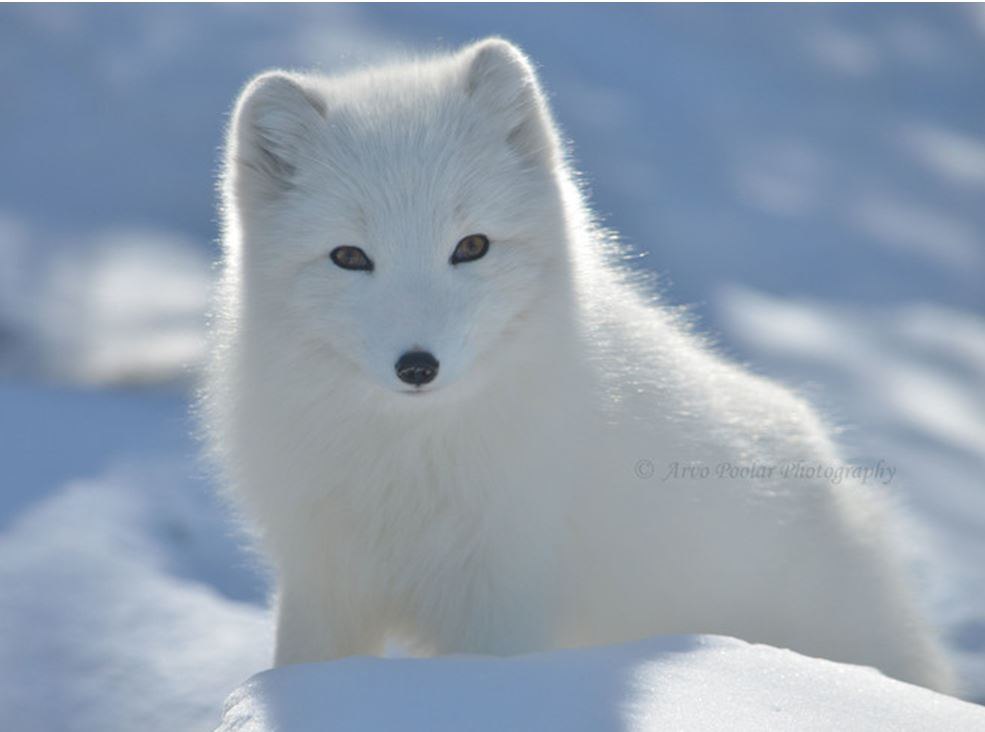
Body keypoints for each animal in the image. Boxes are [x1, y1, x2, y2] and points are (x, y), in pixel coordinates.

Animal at [206, 38, 952, 692]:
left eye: (471, 246)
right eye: (349, 257)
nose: (418, 366)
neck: (409, 464)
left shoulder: (504, 601)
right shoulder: (322, 579)